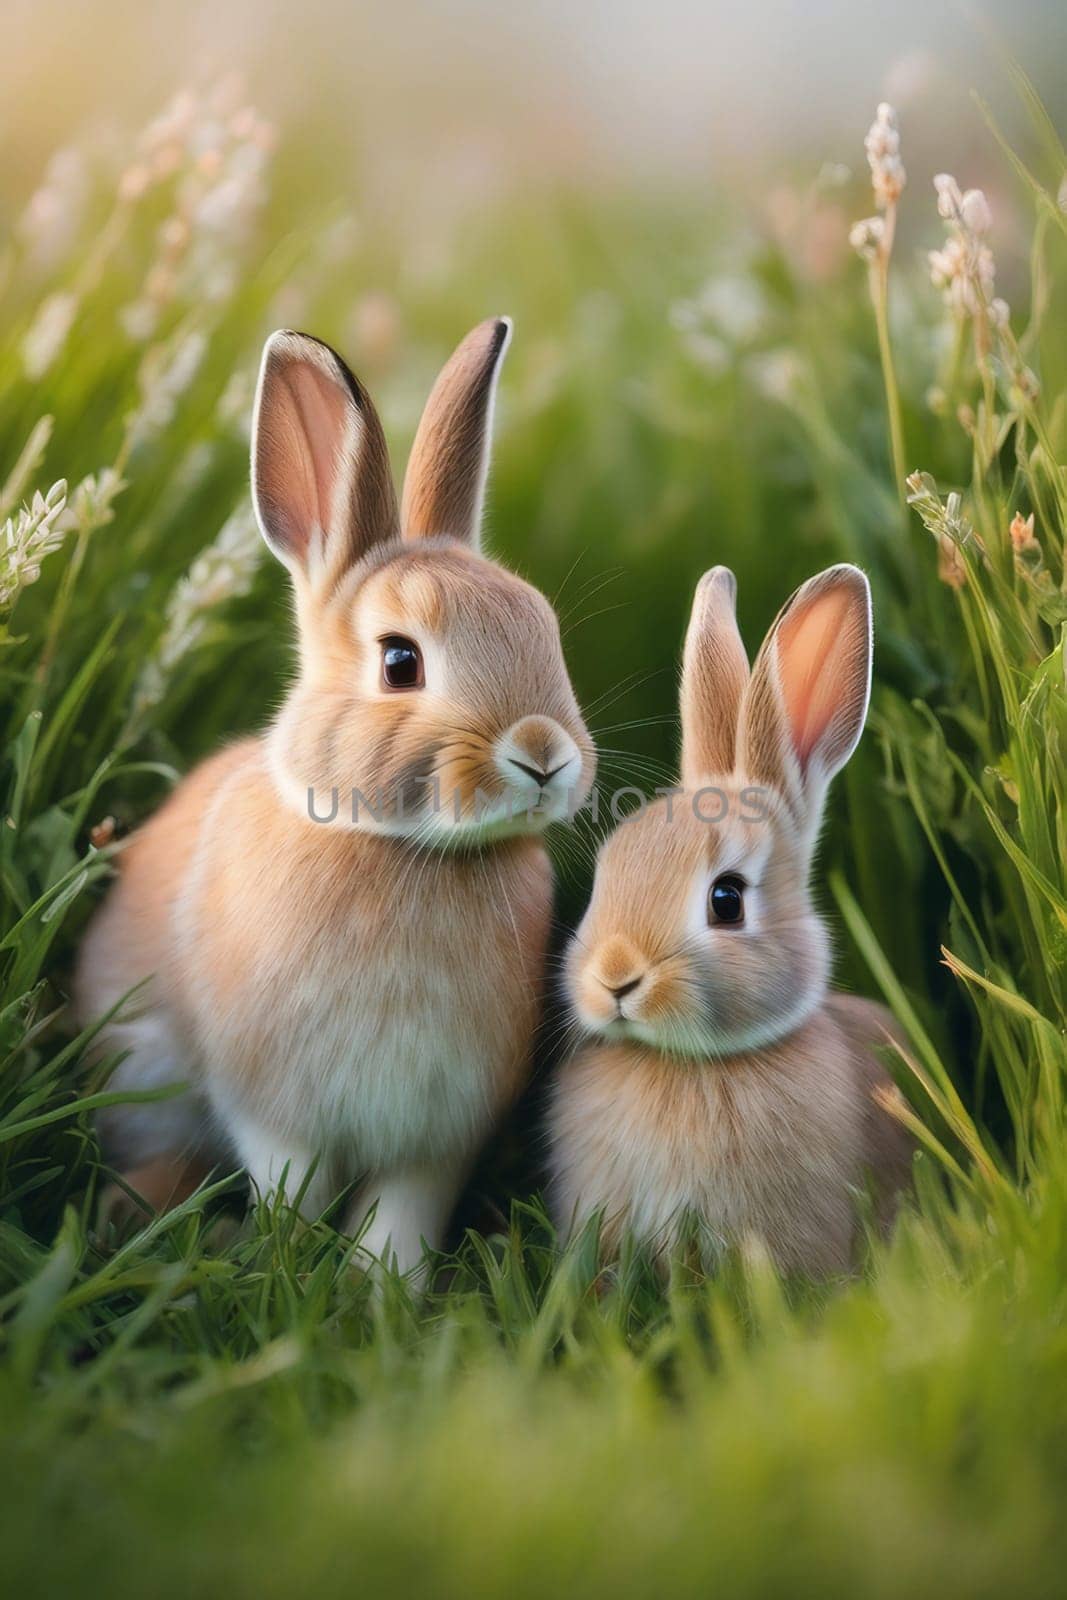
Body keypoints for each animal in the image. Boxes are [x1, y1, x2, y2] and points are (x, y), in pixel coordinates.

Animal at [75, 315, 598, 1273]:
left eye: (542, 627)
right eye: (399, 661)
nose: (544, 755)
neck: (399, 849)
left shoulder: (439, 1130)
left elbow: (403, 1211)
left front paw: (381, 1284)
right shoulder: (272, 1104)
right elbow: (294, 1185)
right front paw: (284, 1258)